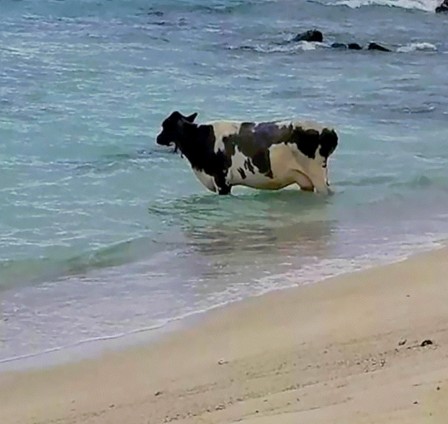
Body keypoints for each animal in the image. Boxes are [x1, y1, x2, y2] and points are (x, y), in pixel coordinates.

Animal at [156, 110, 338, 195]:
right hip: (306, 179)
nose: (158, 138)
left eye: (165, 125)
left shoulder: (221, 180)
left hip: (317, 175)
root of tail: (329, 129)